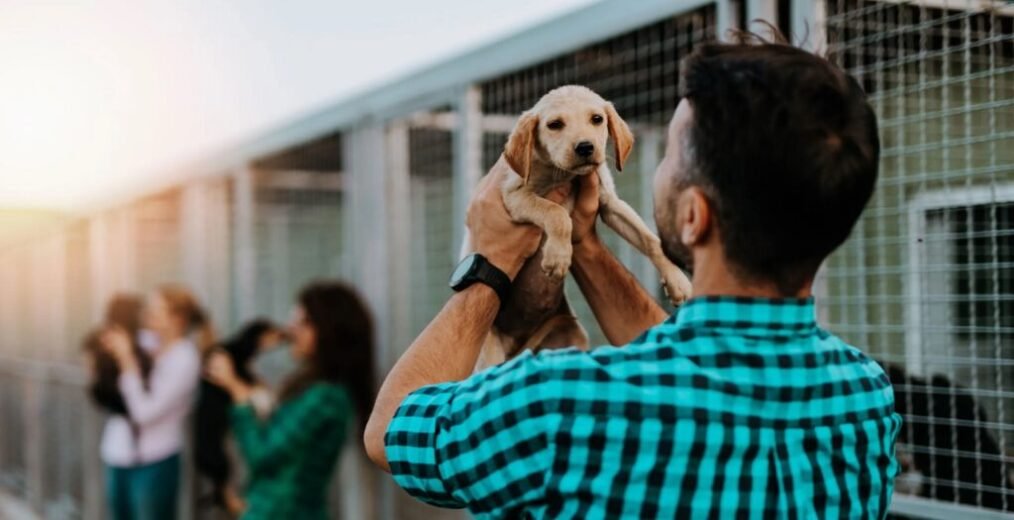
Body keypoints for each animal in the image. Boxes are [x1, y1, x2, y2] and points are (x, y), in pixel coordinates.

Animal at [464, 85, 693, 368]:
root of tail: (517, 347)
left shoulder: (610, 203)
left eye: (597, 119)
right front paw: (558, 255)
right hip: (489, 353)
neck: (566, 176)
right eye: (554, 125)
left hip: (570, 337)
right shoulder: (514, 196)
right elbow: (557, 212)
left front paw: (676, 279)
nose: (585, 147)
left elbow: (650, 239)